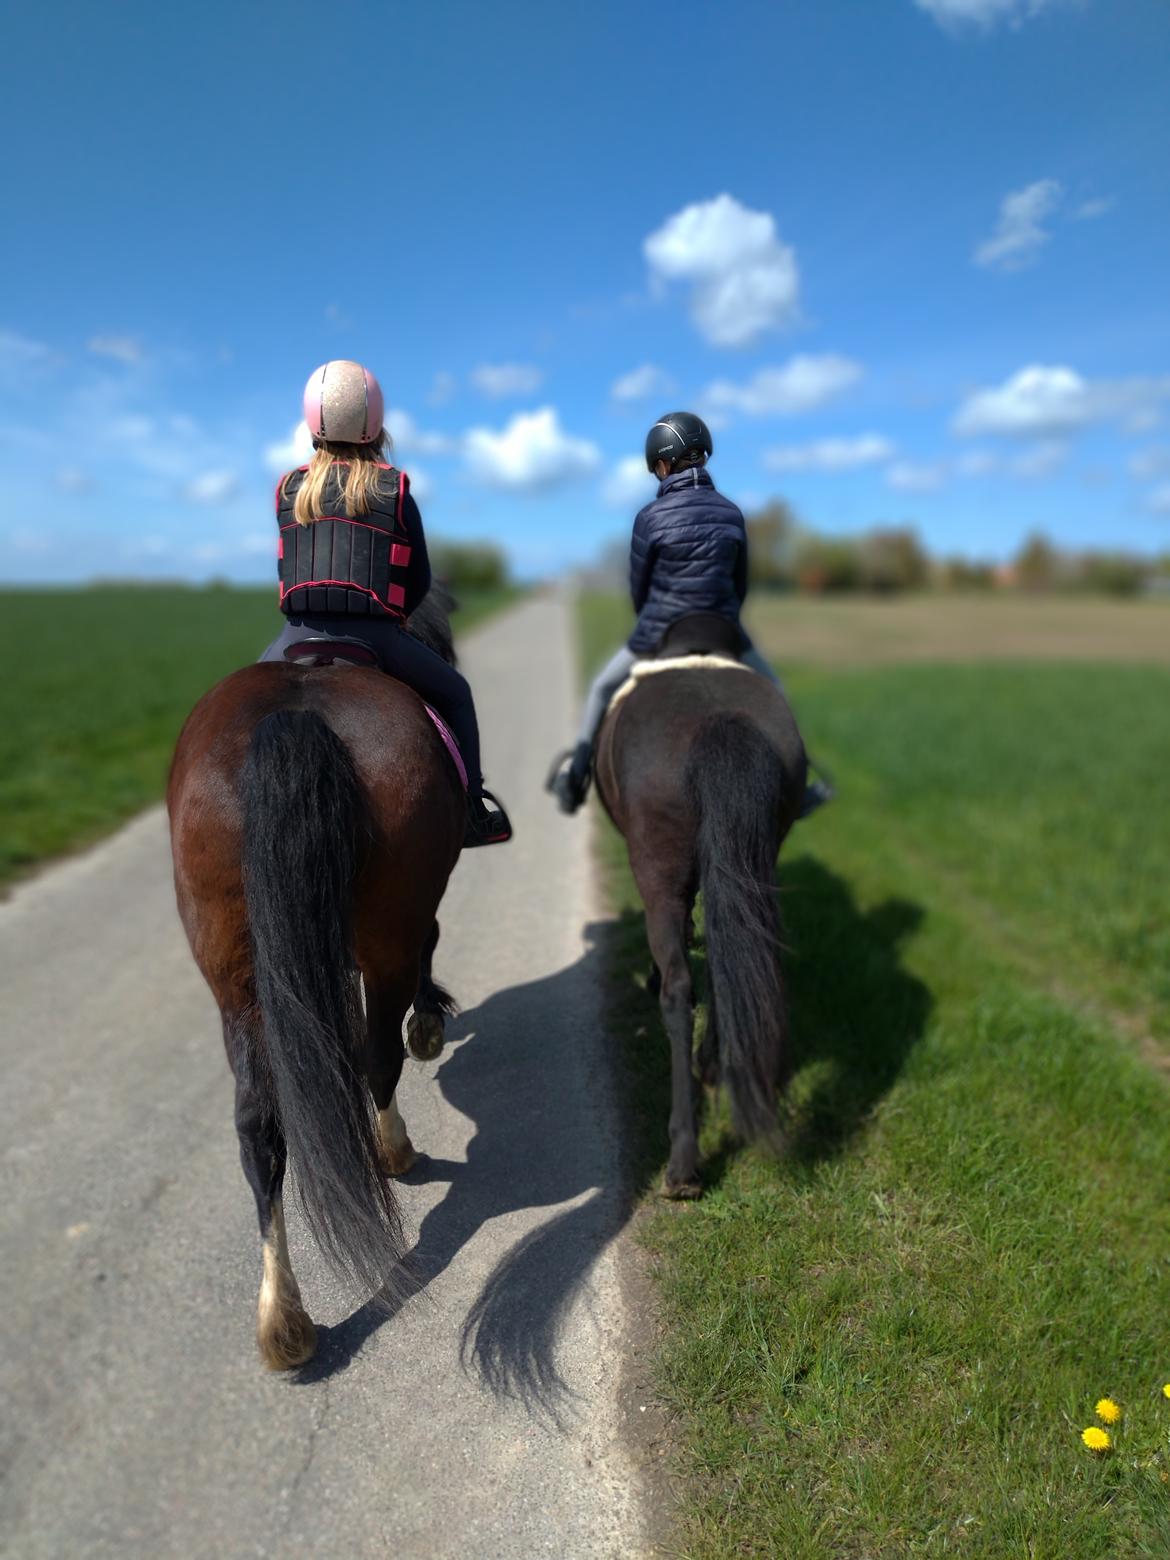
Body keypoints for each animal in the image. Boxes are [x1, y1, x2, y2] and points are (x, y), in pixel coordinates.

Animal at [166, 595, 467, 1366]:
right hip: (387, 928)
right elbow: (428, 952)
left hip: (234, 976)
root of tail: (295, 717)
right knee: (376, 1057)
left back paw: (283, 1316)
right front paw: (430, 1019)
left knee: (258, 1121)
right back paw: (394, 1150)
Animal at [599, 617, 811, 1191]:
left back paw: (683, 1161)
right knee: (731, 957)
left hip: (658, 876)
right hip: (751, 861)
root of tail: (717, 720)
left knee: (678, 992)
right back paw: (719, 1064)